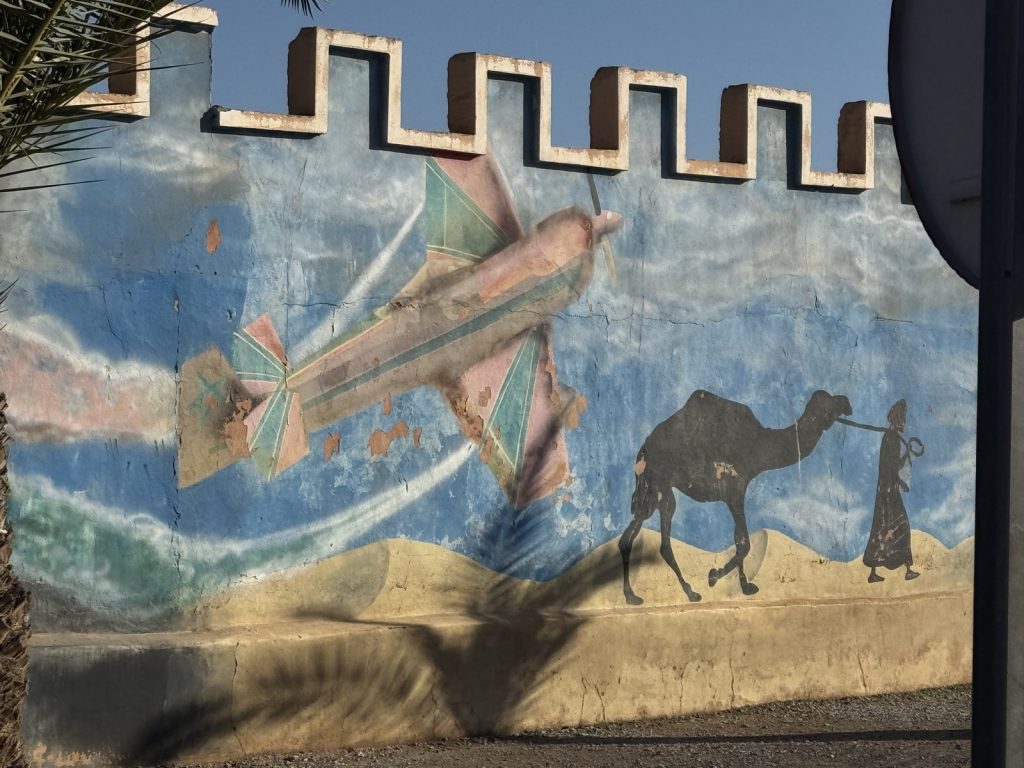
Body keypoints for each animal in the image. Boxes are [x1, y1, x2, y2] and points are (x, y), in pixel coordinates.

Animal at [619, 389, 852, 605]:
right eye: (828, 403)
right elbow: (744, 543)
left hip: (656, 493)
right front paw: (713, 576)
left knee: (639, 539)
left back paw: (647, 595)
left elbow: (738, 539)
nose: (847, 403)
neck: (759, 444)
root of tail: (643, 450)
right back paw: (677, 593)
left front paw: (745, 586)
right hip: (657, 485)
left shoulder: (738, 490)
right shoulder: (734, 489)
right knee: (650, 540)